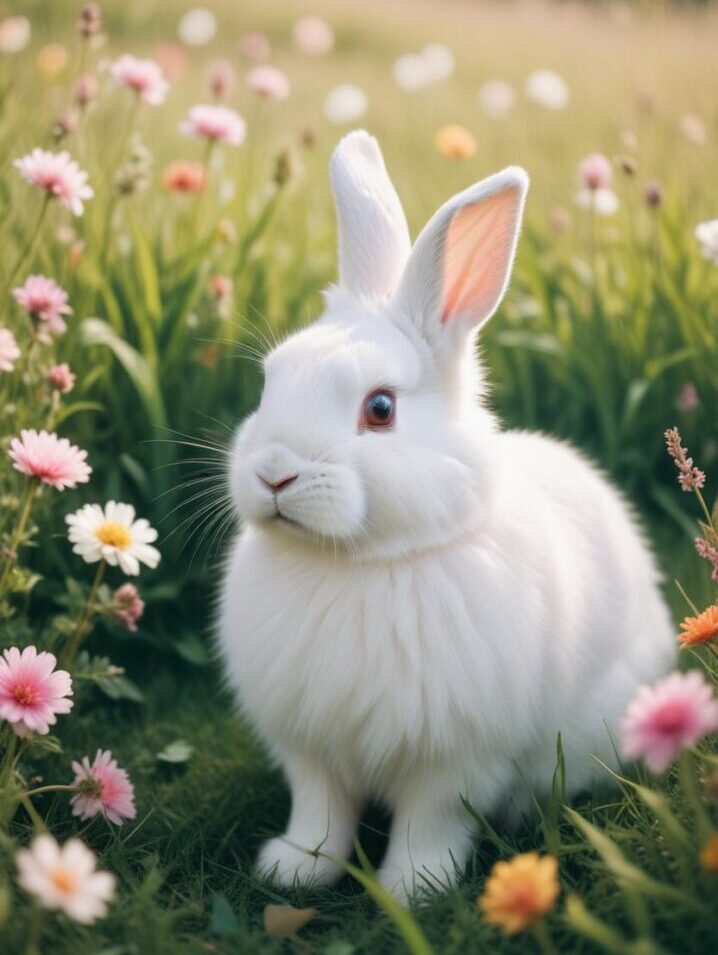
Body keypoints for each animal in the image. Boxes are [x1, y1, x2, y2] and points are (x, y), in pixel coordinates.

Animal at [217, 129, 675, 903]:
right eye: (269, 381)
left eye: (379, 408)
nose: (274, 471)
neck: (362, 562)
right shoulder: (311, 750)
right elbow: (320, 810)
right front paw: (294, 869)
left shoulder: (455, 758)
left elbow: (431, 821)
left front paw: (414, 888)